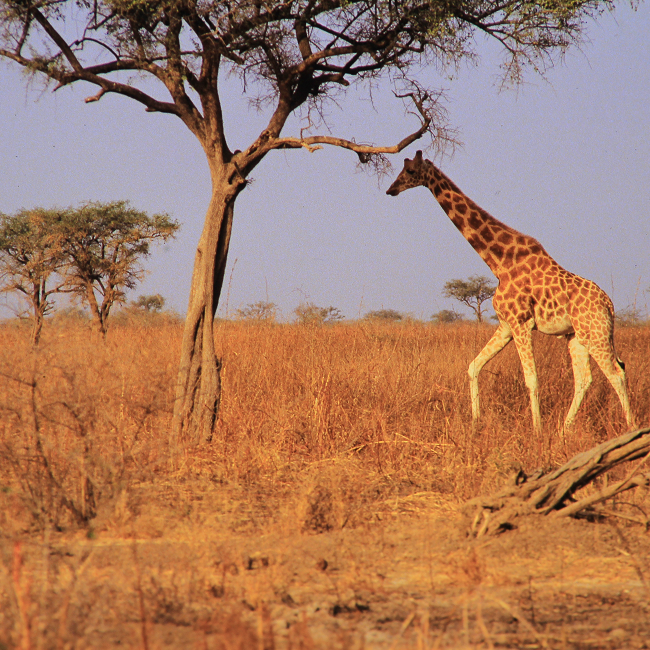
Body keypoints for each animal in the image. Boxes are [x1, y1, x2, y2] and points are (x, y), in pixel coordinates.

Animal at [386, 150, 636, 435]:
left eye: (410, 171)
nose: (391, 189)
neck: (499, 263)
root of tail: (609, 305)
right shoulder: (506, 324)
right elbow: (473, 366)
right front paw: (476, 421)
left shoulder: (521, 323)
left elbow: (531, 379)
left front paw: (536, 431)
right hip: (577, 336)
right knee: (585, 379)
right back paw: (563, 430)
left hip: (596, 333)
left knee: (616, 373)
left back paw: (630, 427)